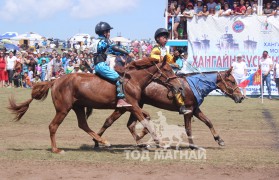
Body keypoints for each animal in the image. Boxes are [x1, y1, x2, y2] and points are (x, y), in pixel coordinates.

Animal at [7, 57, 183, 153]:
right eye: (168, 70)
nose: (179, 86)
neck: (132, 80)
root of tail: (55, 80)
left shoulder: (127, 107)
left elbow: (145, 118)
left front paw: (142, 139)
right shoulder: (132, 105)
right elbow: (145, 120)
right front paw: (159, 142)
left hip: (78, 107)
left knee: (83, 124)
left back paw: (102, 141)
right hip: (63, 109)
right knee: (53, 126)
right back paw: (56, 149)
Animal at [93, 67, 245, 149]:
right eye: (232, 81)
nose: (241, 97)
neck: (196, 85)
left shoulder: (195, 109)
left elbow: (208, 121)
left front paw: (219, 139)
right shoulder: (188, 111)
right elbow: (188, 128)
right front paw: (193, 145)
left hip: (136, 106)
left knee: (130, 124)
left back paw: (140, 141)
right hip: (126, 107)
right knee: (110, 121)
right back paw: (97, 140)